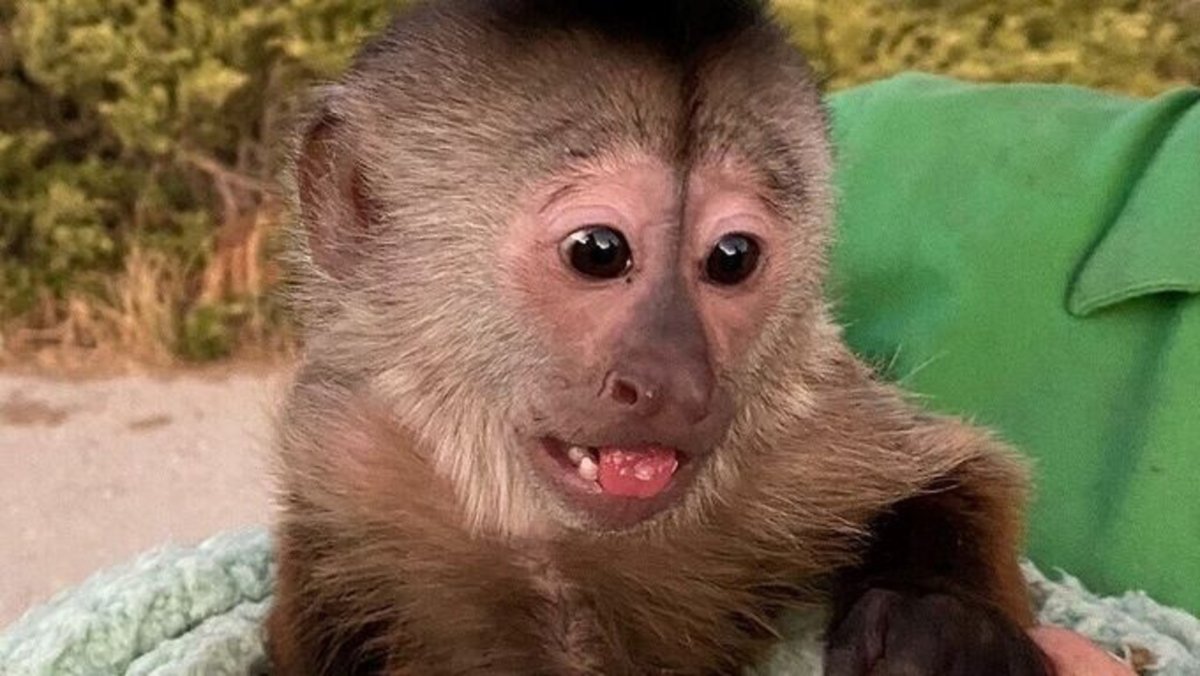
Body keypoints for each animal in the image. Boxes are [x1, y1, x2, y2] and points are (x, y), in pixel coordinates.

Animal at [268, 1, 1056, 674]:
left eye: (732, 258)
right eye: (598, 251)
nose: (675, 381)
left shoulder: (811, 431)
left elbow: (965, 470)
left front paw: (944, 621)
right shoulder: (348, 453)